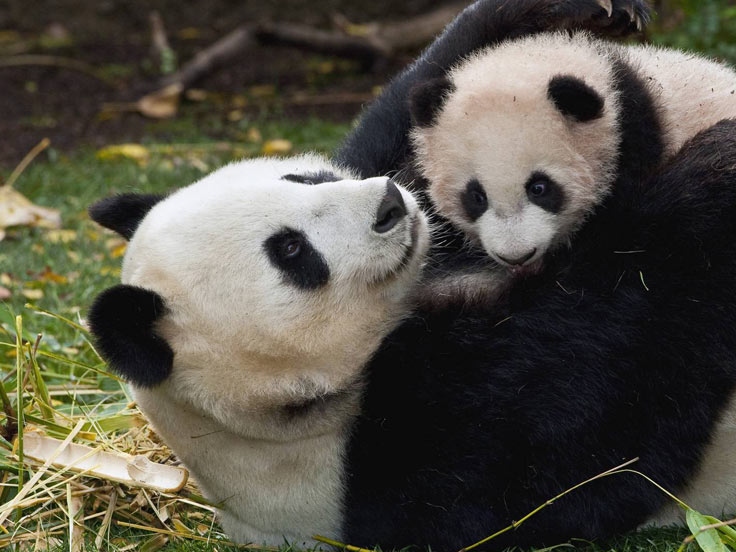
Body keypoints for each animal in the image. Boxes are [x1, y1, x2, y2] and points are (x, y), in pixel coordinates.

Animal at [88, 121, 736, 550]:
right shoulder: (413, 458)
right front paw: (713, 168)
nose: (390, 204)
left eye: (303, 176)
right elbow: (620, 383)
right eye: (291, 251)